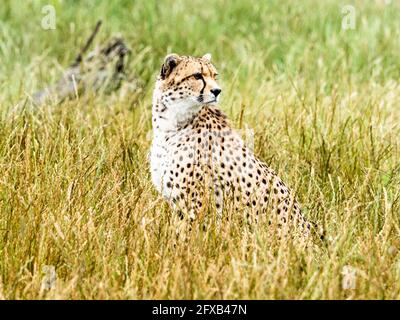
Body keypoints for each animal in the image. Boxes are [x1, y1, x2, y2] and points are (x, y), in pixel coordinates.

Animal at [150, 53, 322, 242]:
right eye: (197, 75)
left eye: (214, 75)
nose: (217, 91)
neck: (171, 123)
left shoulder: (194, 204)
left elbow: (184, 239)